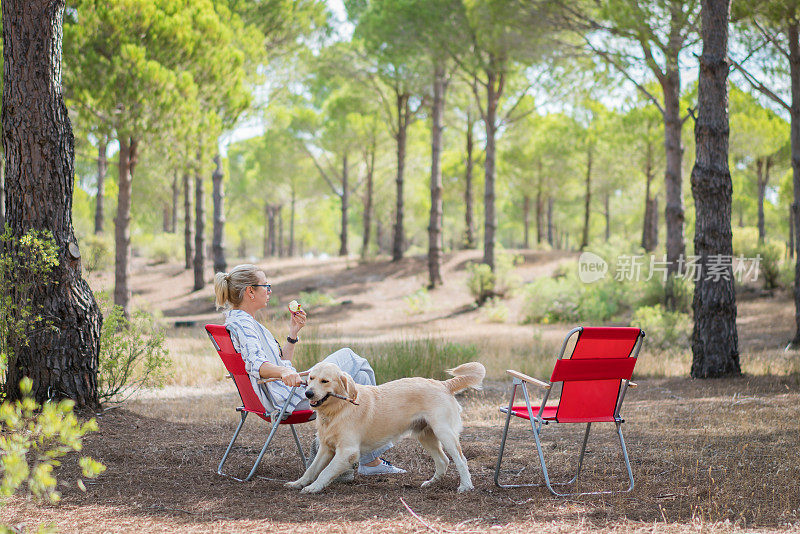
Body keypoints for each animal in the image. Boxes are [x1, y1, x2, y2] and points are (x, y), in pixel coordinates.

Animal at [284, 362, 484, 496]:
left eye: (325, 381)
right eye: (311, 378)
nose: (308, 393)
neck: (339, 408)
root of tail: (443, 384)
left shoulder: (348, 452)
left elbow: (325, 472)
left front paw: (313, 487)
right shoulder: (326, 449)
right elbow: (311, 469)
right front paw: (298, 483)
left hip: (444, 433)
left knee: (460, 460)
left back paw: (465, 486)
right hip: (425, 435)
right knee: (443, 460)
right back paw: (432, 482)